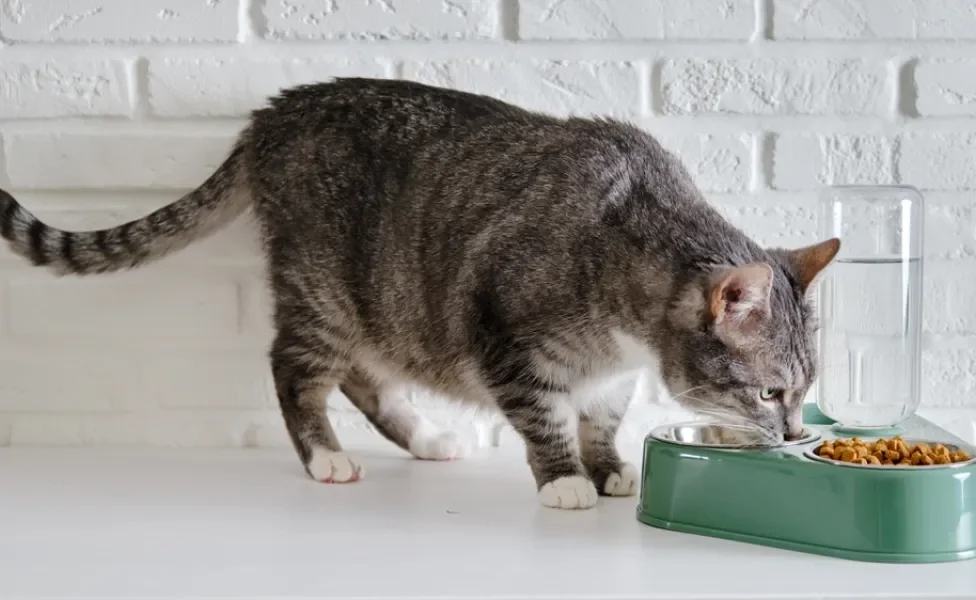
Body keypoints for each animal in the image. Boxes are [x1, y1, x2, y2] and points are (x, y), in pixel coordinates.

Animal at [0, 78, 840, 510]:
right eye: (769, 393)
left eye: (802, 392)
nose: (795, 432)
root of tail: (271, 115)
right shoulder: (500, 329)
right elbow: (543, 415)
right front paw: (564, 479)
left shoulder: (613, 372)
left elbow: (600, 416)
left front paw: (606, 469)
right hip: (328, 291)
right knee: (297, 369)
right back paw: (327, 458)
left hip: (382, 307)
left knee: (365, 377)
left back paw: (429, 436)